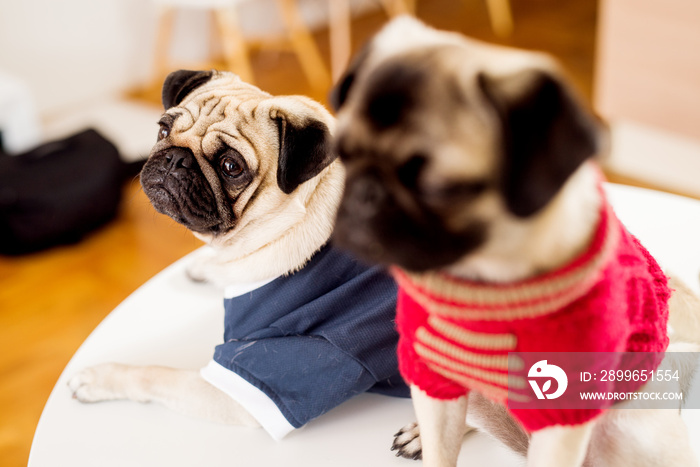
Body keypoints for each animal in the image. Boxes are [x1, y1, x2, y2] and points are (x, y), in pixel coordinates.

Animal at [330, 16, 700, 467]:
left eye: (441, 189)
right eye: (342, 154)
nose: (365, 194)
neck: (484, 281)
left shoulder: (564, 416)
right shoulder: (432, 373)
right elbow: (440, 448)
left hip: (634, 423)